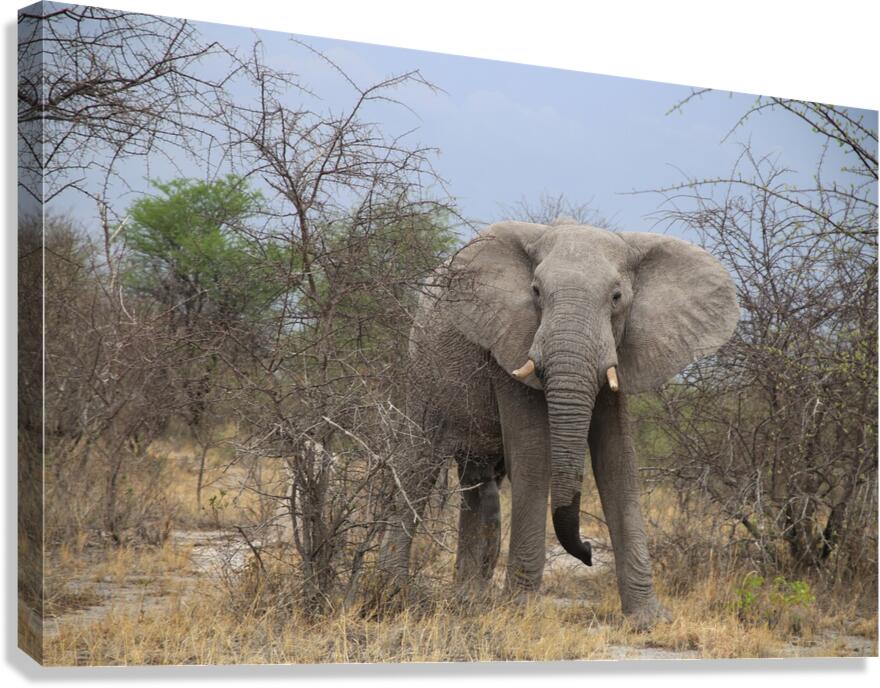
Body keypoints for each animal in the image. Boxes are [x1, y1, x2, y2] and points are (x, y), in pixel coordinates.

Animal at [378, 217, 738, 628]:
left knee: (478, 483)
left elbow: (618, 462)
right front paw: (519, 611)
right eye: (535, 292)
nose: (588, 552)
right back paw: (392, 595)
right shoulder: (510, 341)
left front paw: (650, 619)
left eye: (617, 298)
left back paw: (468, 601)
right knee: (416, 463)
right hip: (424, 367)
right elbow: (534, 455)